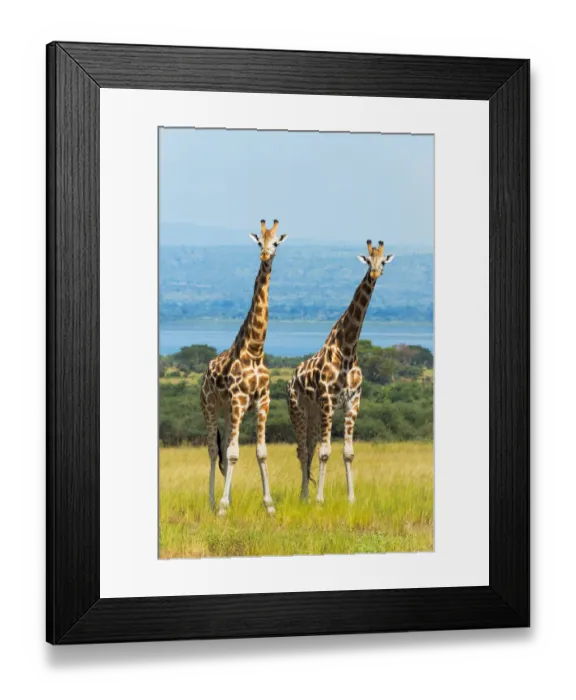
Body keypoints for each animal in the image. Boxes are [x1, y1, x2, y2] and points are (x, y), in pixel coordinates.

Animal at [201, 219, 288, 516]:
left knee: (225, 447)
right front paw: (223, 507)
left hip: (229, 412)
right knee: (213, 450)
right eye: (259, 242)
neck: (255, 349)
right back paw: (212, 501)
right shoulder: (239, 400)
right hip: (211, 407)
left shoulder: (263, 401)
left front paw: (270, 506)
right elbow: (232, 453)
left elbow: (260, 452)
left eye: (275, 243)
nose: (265, 256)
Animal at [287, 240, 395, 504]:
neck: (347, 350)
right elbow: (326, 452)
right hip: (298, 410)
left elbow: (348, 453)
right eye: (368, 260)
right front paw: (319, 500)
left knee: (309, 449)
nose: (375, 273)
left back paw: (305, 495)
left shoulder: (352, 402)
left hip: (314, 416)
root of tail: (290, 379)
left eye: (383, 261)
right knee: (303, 451)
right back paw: (305, 496)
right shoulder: (328, 401)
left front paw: (351, 499)